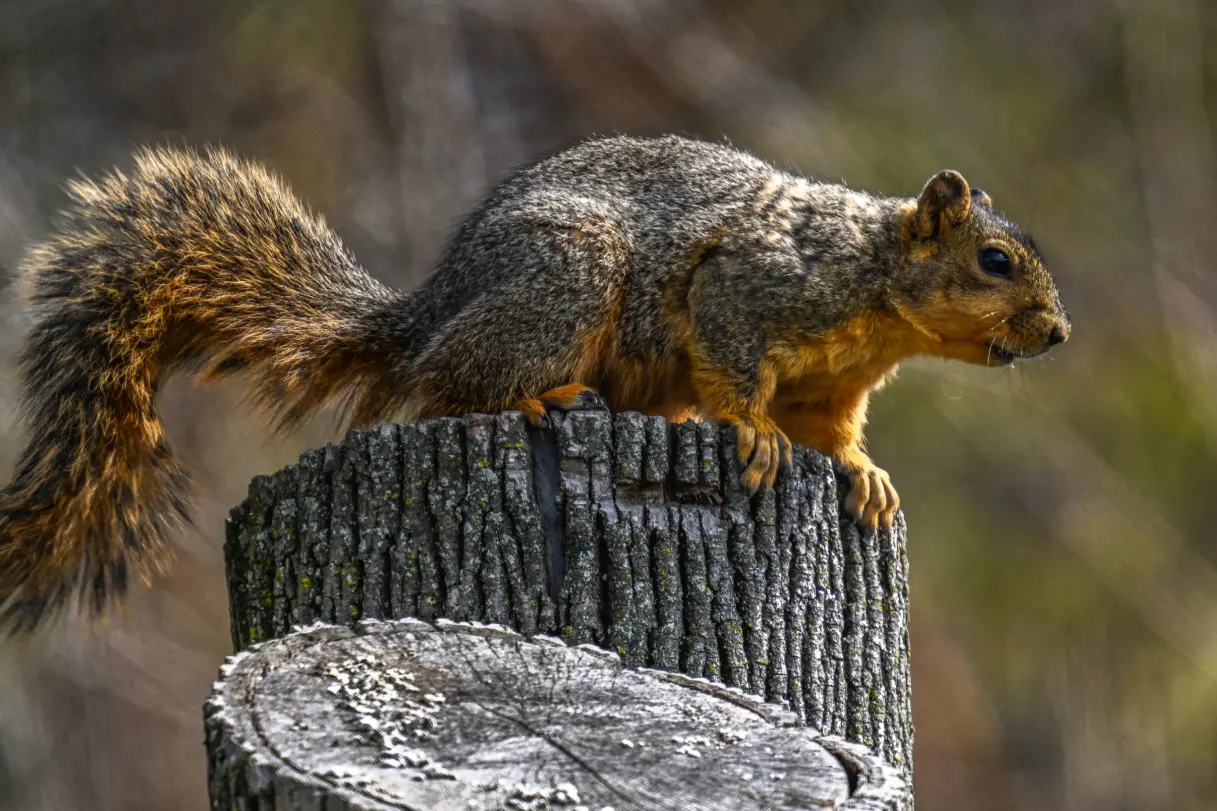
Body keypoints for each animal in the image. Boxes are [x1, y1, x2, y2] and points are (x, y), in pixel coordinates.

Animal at [0, 133, 1066, 633]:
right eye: (995, 261)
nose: (1058, 333)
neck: (876, 285)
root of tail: (427, 313)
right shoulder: (749, 286)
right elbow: (734, 369)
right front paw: (752, 433)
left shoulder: (832, 384)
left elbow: (831, 431)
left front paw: (862, 472)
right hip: (565, 280)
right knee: (448, 383)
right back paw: (538, 398)